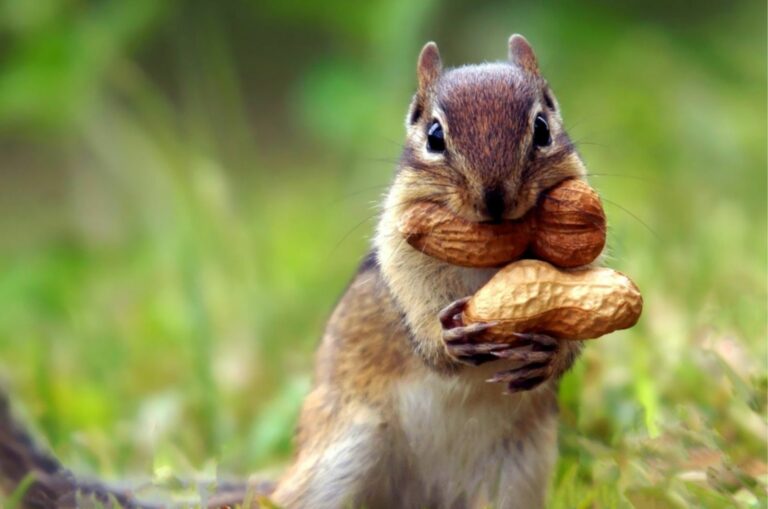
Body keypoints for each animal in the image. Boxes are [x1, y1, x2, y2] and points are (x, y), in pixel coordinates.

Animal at [0, 35, 588, 509]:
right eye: (435, 136)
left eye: (542, 127)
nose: (494, 200)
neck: (487, 258)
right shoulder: (398, 255)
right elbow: (415, 307)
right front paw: (445, 341)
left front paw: (552, 352)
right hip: (341, 457)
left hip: (514, 479)